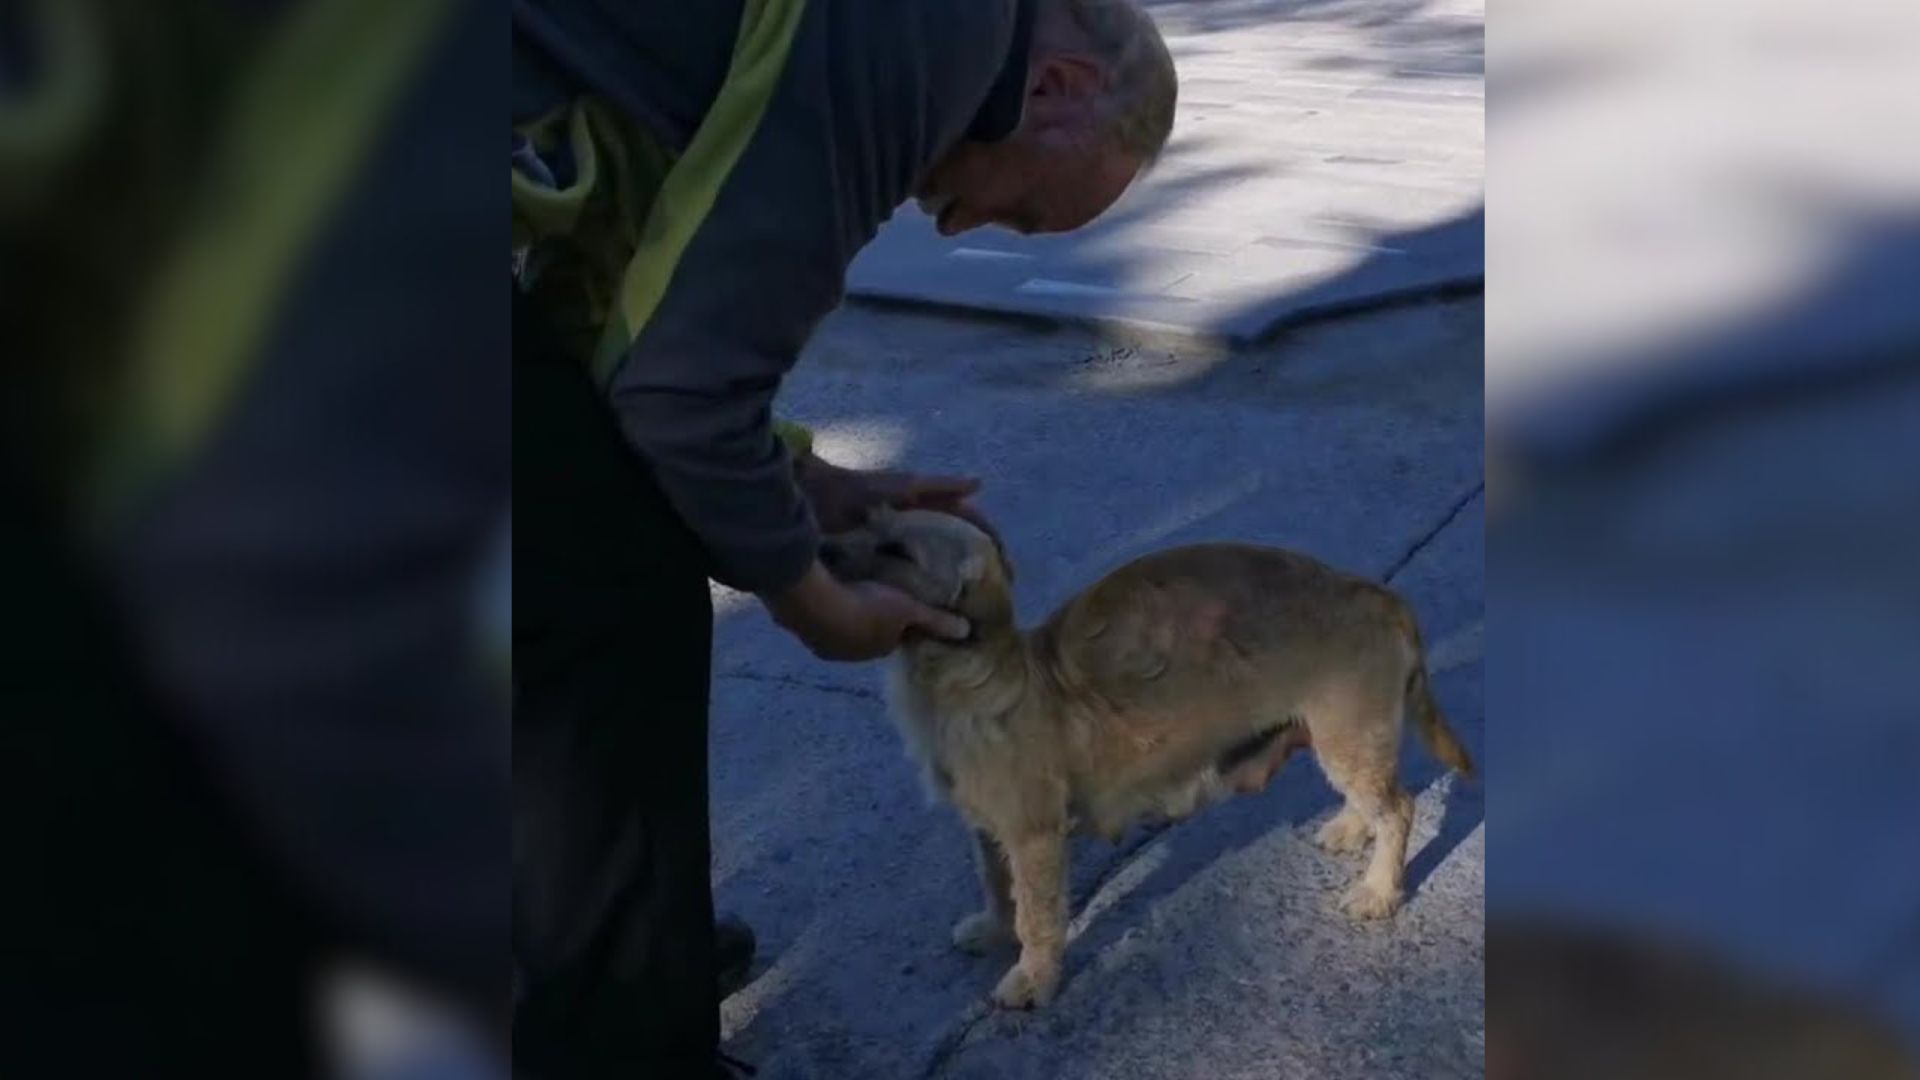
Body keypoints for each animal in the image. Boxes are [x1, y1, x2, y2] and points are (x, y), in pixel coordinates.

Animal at [817, 507, 1474, 1006]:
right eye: (867, 521)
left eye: (897, 549)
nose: (820, 547)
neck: (976, 679)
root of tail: (1376, 593)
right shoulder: (986, 829)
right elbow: (996, 885)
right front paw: (994, 928)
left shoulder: (1034, 836)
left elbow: (1037, 914)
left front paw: (1032, 976)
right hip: (1339, 737)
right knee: (1373, 799)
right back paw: (1349, 828)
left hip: (1348, 737)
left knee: (1399, 807)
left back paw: (1379, 889)